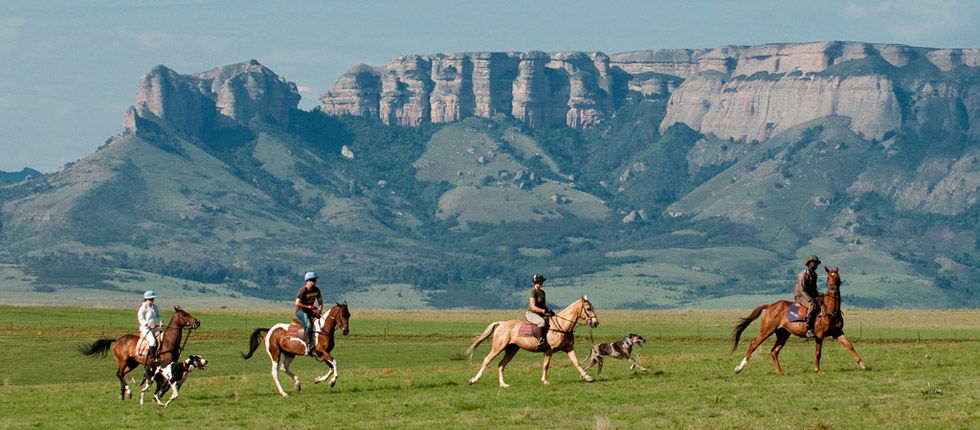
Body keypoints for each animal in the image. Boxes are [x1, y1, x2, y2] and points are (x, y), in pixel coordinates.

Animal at [466, 296, 596, 386]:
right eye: (588, 309)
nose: (595, 323)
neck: (561, 326)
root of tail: (502, 323)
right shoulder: (549, 350)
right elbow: (546, 365)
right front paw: (544, 381)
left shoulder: (568, 348)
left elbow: (577, 362)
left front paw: (588, 377)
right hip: (498, 347)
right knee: (487, 360)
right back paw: (473, 380)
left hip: (511, 349)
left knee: (501, 364)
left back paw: (503, 384)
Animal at [732, 268, 868, 374]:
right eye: (828, 277)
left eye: (838, 277)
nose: (833, 288)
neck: (831, 309)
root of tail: (771, 305)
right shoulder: (819, 335)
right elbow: (818, 352)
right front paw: (818, 370)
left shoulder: (838, 332)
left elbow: (850, 346)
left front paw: (863, 365)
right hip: (767, 330)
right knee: (754, 344)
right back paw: (739, 368)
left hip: (783, 334)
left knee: (774, 351)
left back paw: (780, 371)